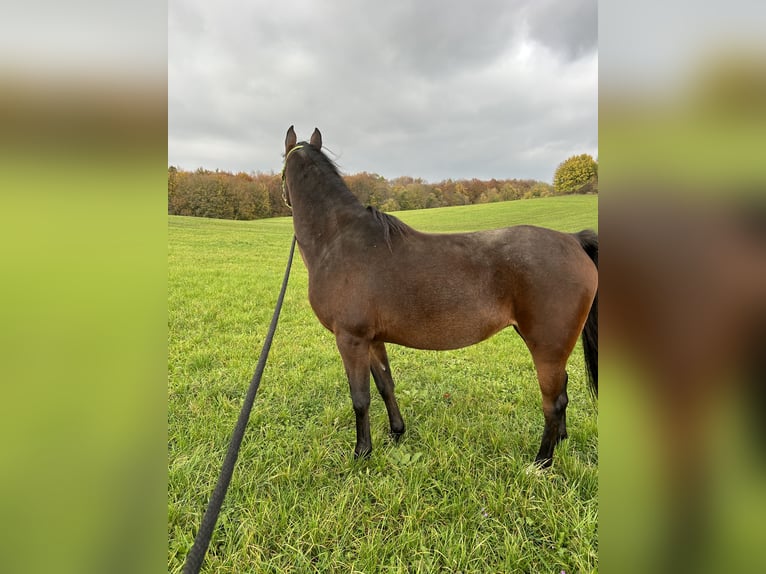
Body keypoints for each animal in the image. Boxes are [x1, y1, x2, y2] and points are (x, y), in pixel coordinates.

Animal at [282, 127, 600, 468]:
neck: (339, 241)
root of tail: (573, 240)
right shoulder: (372, 340)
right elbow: (385, 385)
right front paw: (396, 432)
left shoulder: (350, 339)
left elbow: (360, 398)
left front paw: (362, 452)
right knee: (563, 390)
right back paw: (560, 441)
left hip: (547, 347)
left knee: (553, 401)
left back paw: (540, 462)